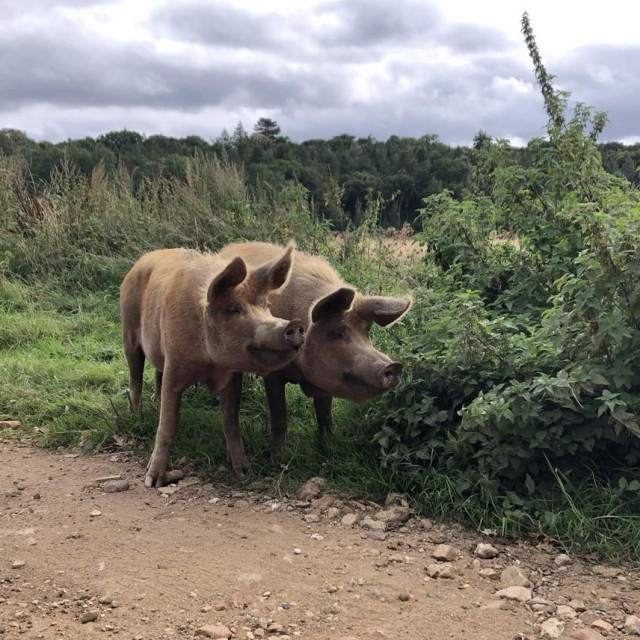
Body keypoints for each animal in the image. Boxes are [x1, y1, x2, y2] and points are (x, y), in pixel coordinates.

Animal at [120, 245, 305, 486]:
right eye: (235, 309)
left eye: (265, 306)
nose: (295, 324)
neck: (208, 363)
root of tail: (139, 263)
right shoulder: (174, 366)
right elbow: (167, 425)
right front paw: (153, 481)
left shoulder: (232, 376)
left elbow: (230, 420)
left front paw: (244, 471)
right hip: (128, 331)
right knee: (135, 376)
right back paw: (136, 414)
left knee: (155, 372)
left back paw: (155, 401)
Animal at [216, 242, 412, 464]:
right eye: (336, 332)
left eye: (367, 332)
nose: (393, 366)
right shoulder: (274, 373)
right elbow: (280, 415)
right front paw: (277, 459)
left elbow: (325, 414)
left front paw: (329, 445)